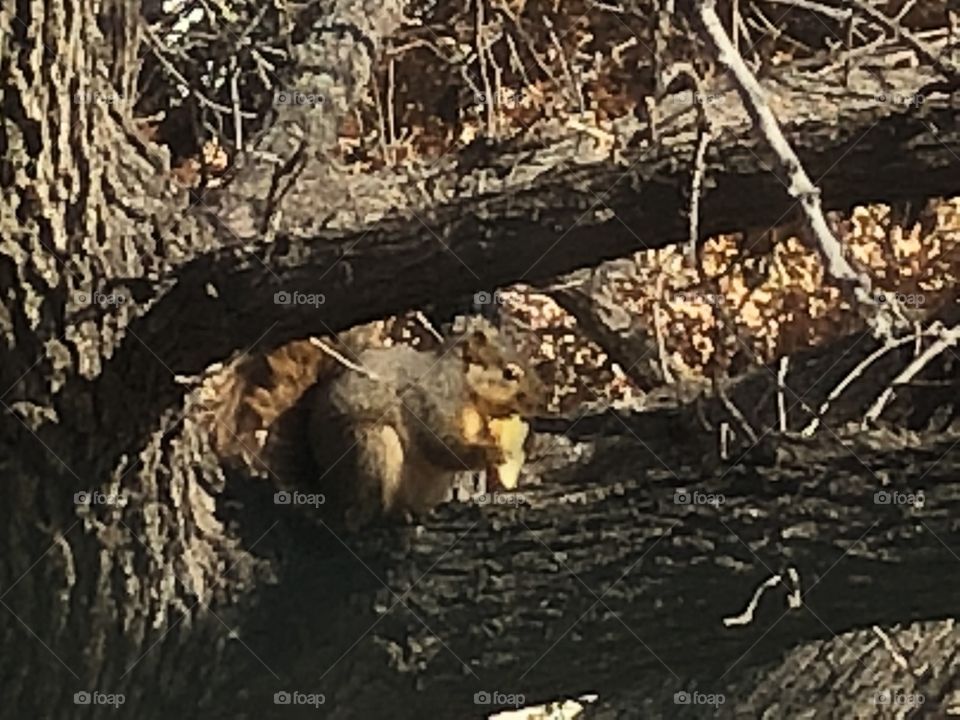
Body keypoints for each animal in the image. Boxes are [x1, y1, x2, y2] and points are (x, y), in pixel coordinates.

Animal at [204, 316, 541, 529]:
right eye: (510, 373)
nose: (540, 399)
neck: (465, 386)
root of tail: (329, 494)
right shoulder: (432, 401)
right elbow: (441, 445)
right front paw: (493, 453)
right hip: (372, 445)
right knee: (365, 515)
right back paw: (392, 515)